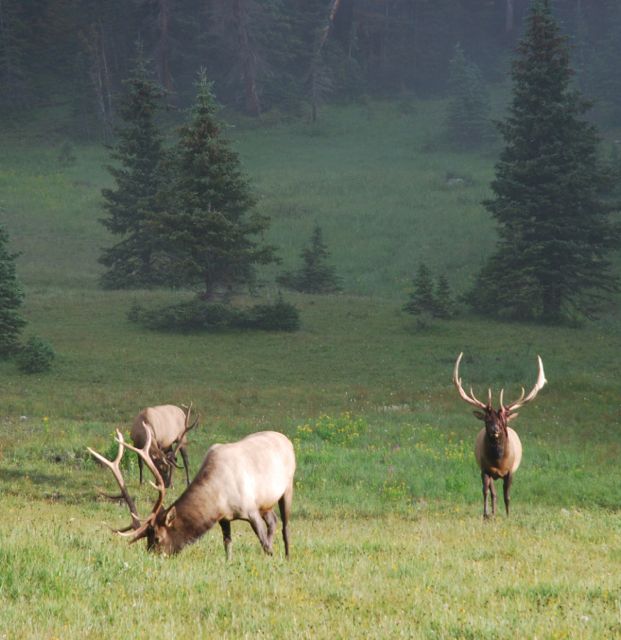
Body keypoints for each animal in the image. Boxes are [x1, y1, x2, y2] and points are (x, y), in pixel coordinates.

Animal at [88, 428, 295, 559]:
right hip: (266, 503)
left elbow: (264, 542)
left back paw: (287, 556)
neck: (218, 497)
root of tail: (287, 439)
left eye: (157, 538)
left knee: (285, 526)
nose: (151, 557)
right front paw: (230, 562)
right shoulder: (225, 517)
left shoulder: (250, 508)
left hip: (287, 487)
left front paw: (271, 558)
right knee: (273, 520)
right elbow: (227, 544)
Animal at [452, 352, 546, 519]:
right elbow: (485, 492)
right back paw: (493, 513)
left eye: (503, 421)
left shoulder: (510, 472)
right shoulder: (484, 469)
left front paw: (509, 516)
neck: (499, 462)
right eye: (487, 419)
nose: (495, 430)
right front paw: (485, 515)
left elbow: (507, 496)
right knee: (493, 493)